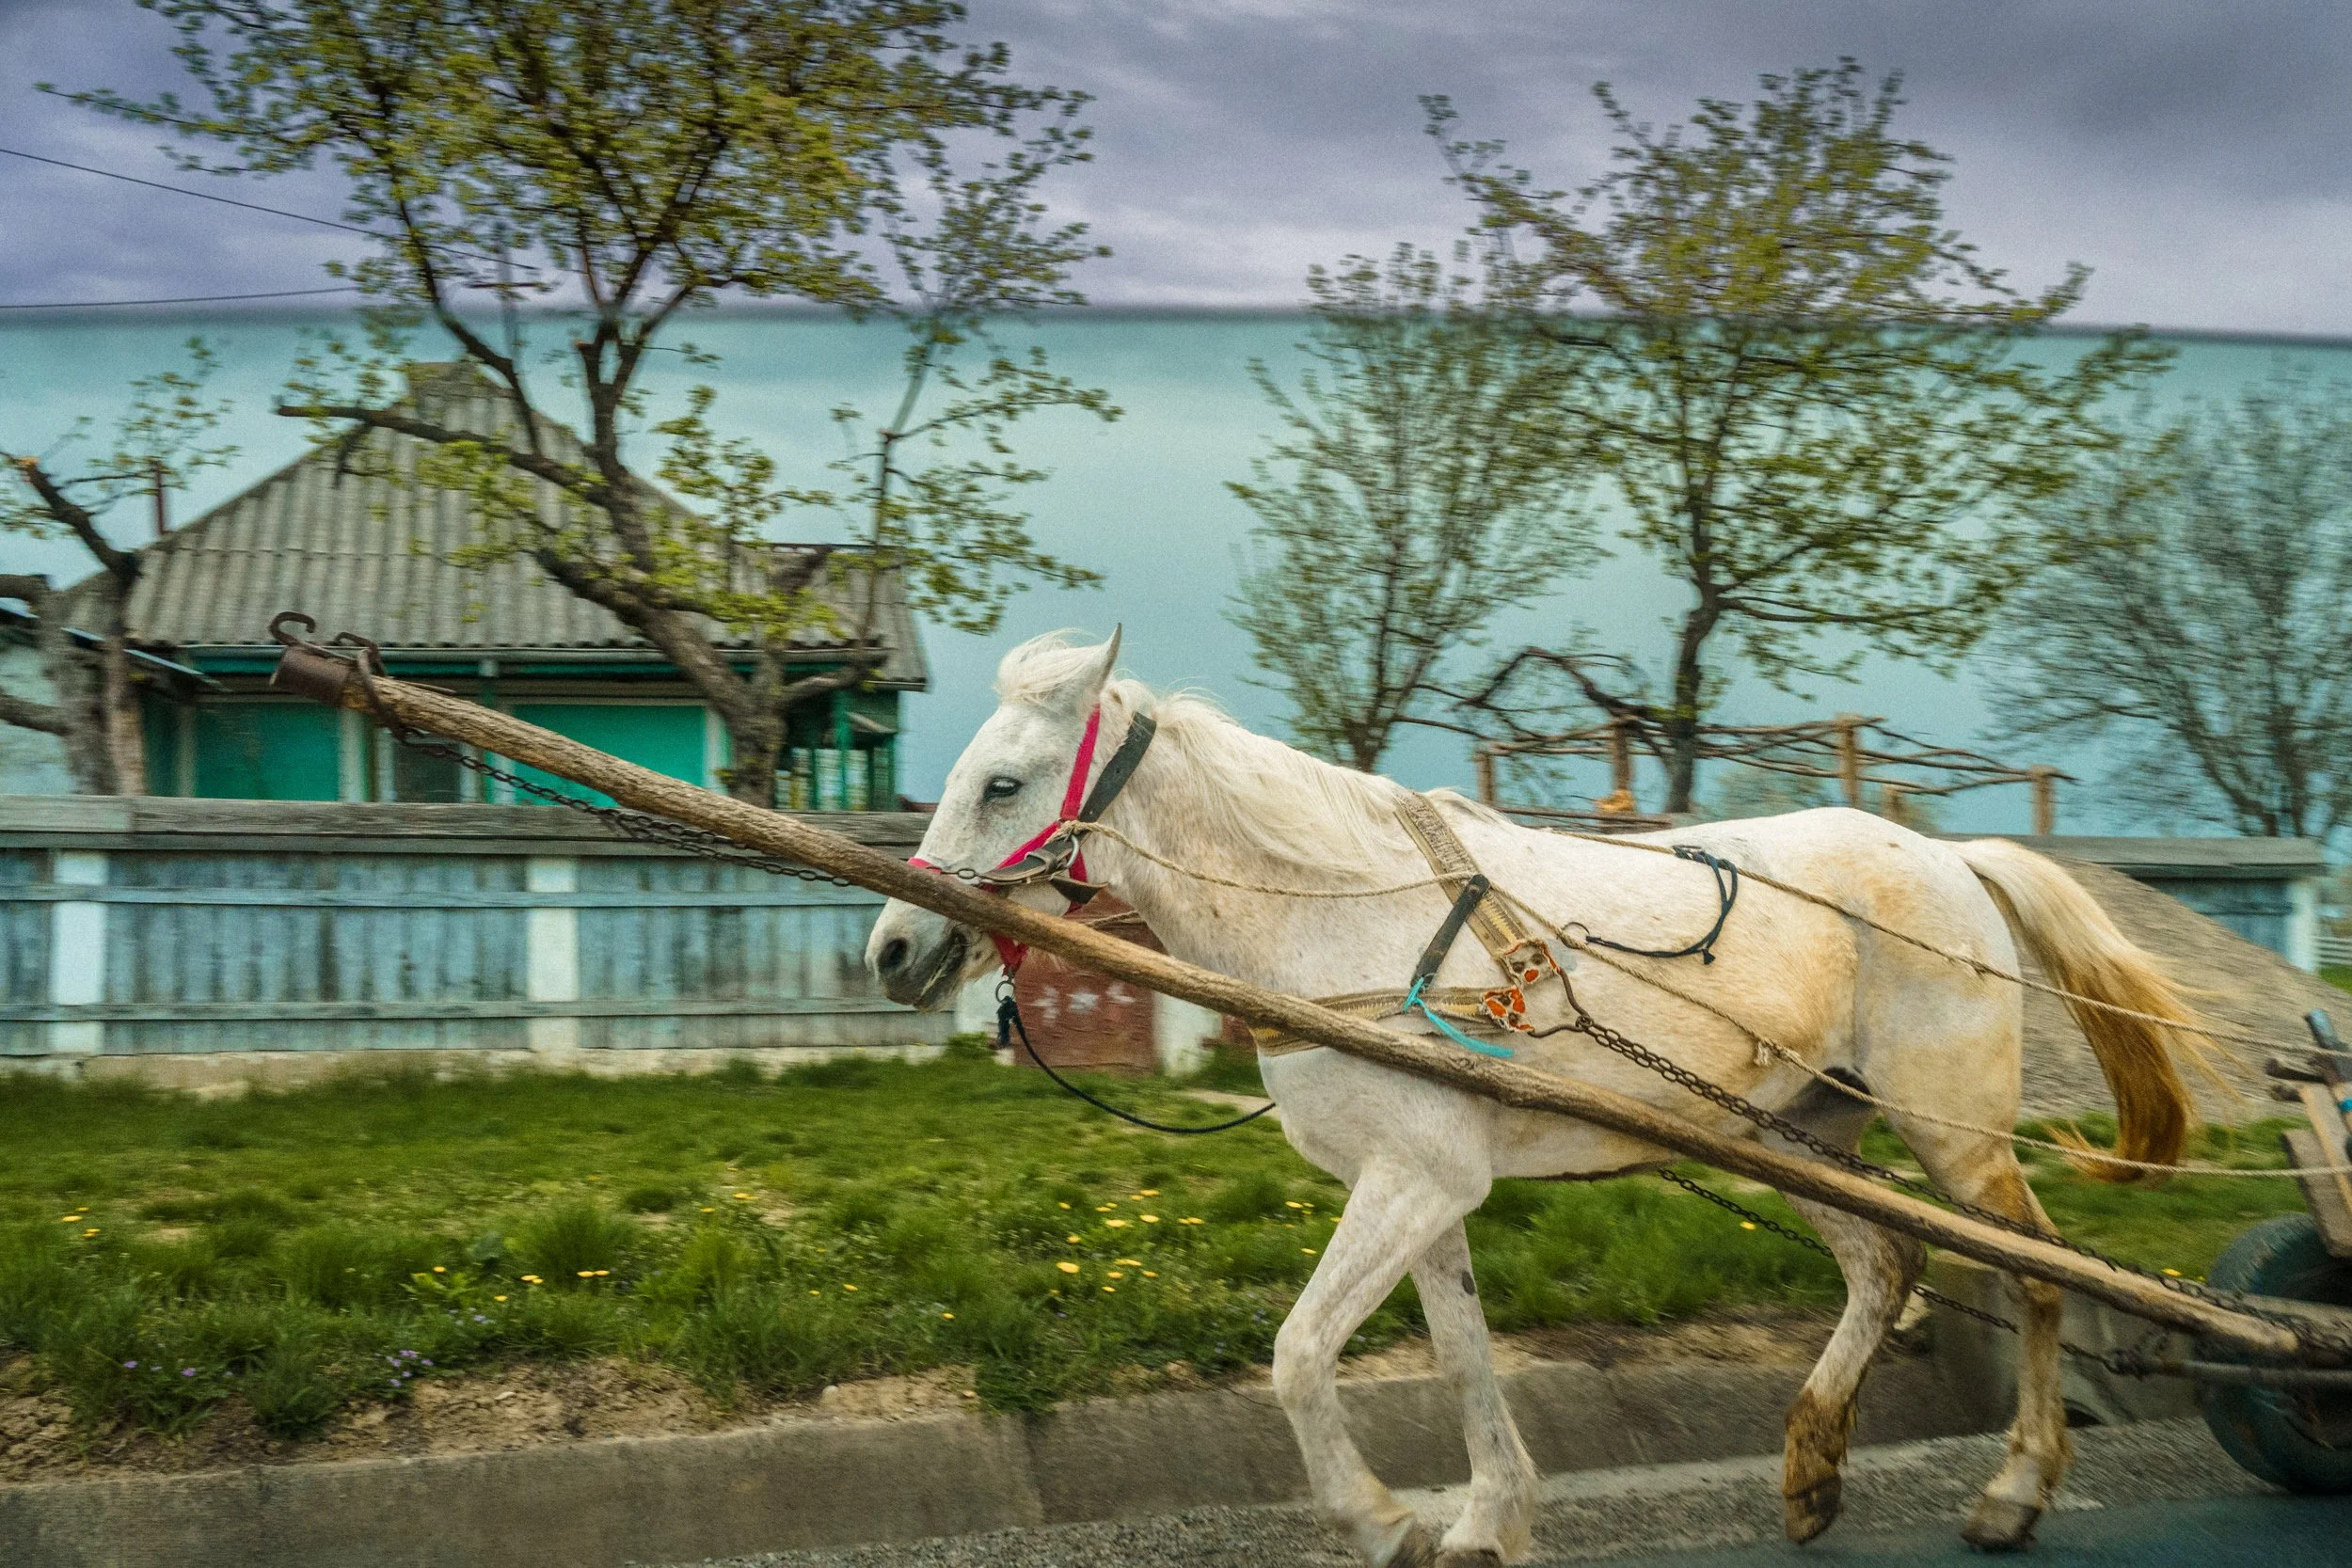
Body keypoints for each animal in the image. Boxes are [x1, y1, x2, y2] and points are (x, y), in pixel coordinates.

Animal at [866, 631, 2205, 1565]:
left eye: (1002, 783)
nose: (890, 950)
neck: (1342, 918)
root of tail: (1952, 855)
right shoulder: (1422, 1188)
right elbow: (1463, 1355)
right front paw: (1486, 1519)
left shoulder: (1416, 1179)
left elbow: (1298, 1355)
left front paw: (1385, 1520)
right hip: (1800, 1133)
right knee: (1886, 1262)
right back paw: (1812, 1471)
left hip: (1952, 1135)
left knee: (2036, 1271)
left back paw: (2011, 1489)